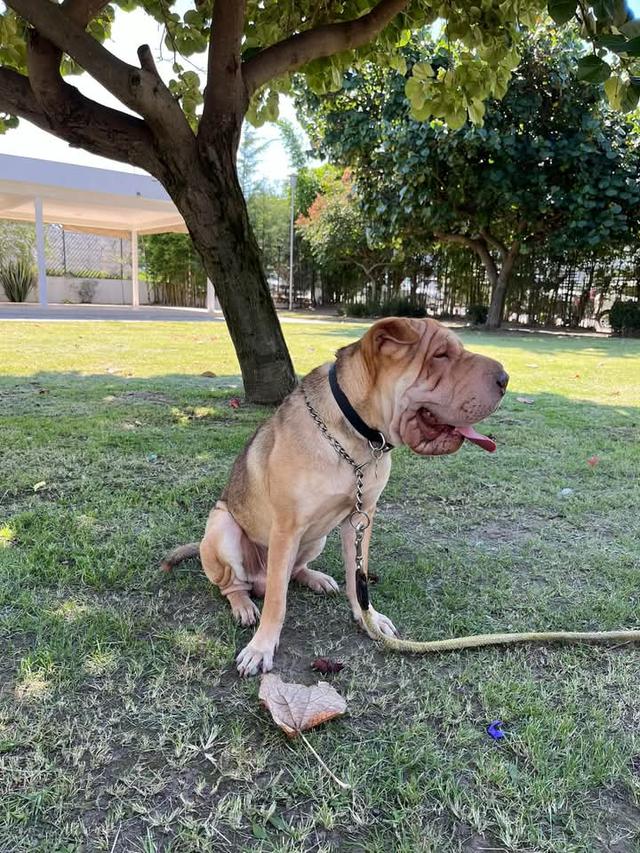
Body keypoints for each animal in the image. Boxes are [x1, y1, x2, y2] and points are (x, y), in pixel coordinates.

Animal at [164, 316, 510, 676]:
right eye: (441, 355)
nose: (505, 378)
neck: (359, 435)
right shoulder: (286, 529)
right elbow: (277, 600)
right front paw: (261, 647)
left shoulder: (359, 518)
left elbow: (357, 579)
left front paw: (368, 618)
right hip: (223, 526)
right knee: (238, 585)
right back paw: (244, 605)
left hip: (316, 538)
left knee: (292, 571)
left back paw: (314, 578)